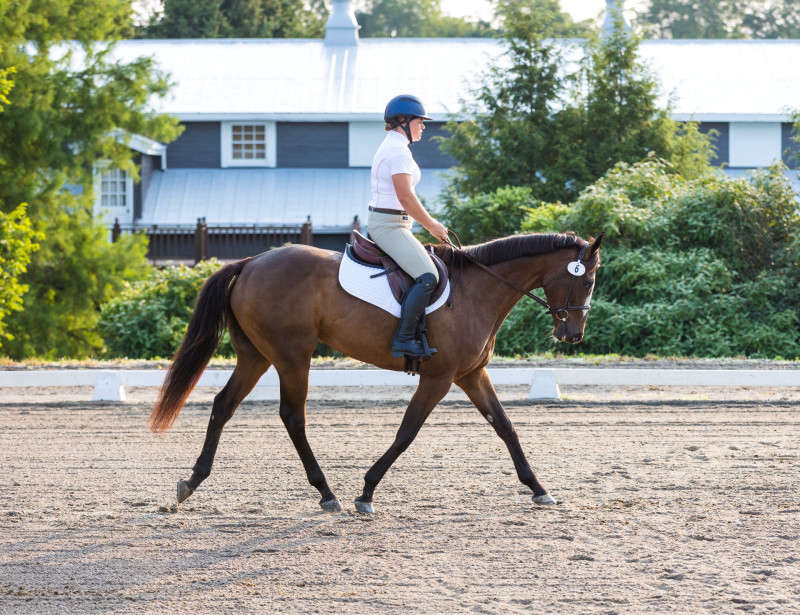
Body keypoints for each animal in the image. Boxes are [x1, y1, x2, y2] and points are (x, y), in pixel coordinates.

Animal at [148, 233, 600, 512]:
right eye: (587, 280)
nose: (573, 335)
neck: (477, 291)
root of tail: (251, 261)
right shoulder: (439, 378)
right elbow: (406, 432)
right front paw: (366, 492)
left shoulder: (471, 374)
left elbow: (505, 427)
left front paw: (539, 489)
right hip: (292, 356)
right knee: (293, 416)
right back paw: (326, 493)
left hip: (256, 356)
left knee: (223, 405)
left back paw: (192, 482)